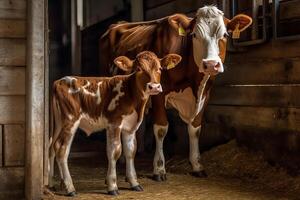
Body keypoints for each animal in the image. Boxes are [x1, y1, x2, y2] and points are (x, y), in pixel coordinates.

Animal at [48, 50, 182, 196]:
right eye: (138, 69)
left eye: (159, 68)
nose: (154, 86)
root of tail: (59, 81)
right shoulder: (114, 123)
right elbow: (115, 151)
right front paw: (112, 186)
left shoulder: (130, 127)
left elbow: (130, 151)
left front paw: (134, 183)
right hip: (70, 120)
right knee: (61, 149)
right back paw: (70, 188)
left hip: (58, 123)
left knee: (51, 147)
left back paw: (52, 184)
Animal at [99, 5, 252, 181]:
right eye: (194, 35)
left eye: (225, 35)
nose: (211, 64)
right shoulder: (158, 91)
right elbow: (161, 128)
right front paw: (159, 169)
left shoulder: (205, 94)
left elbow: (195, 128)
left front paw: (197, 165)